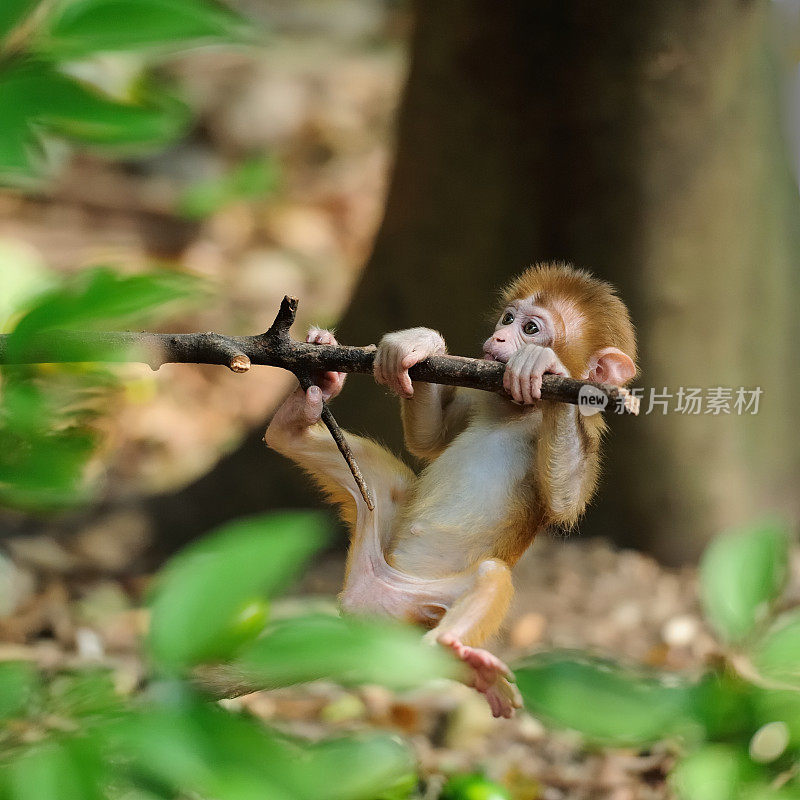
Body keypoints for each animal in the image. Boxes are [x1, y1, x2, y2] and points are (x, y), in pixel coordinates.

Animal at [266, 264, 636, 720]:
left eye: (531, 329)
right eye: (507, 319)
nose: (499, 338)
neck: (516, 412)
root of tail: (366, 607)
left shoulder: (591, 432)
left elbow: (564, 503)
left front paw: (546, 367)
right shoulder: (480, 394)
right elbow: (430, 440)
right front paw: (419, 344)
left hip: (422, 603)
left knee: (490, 577)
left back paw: (455, 651)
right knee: (376, 482)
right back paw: (301, 406)